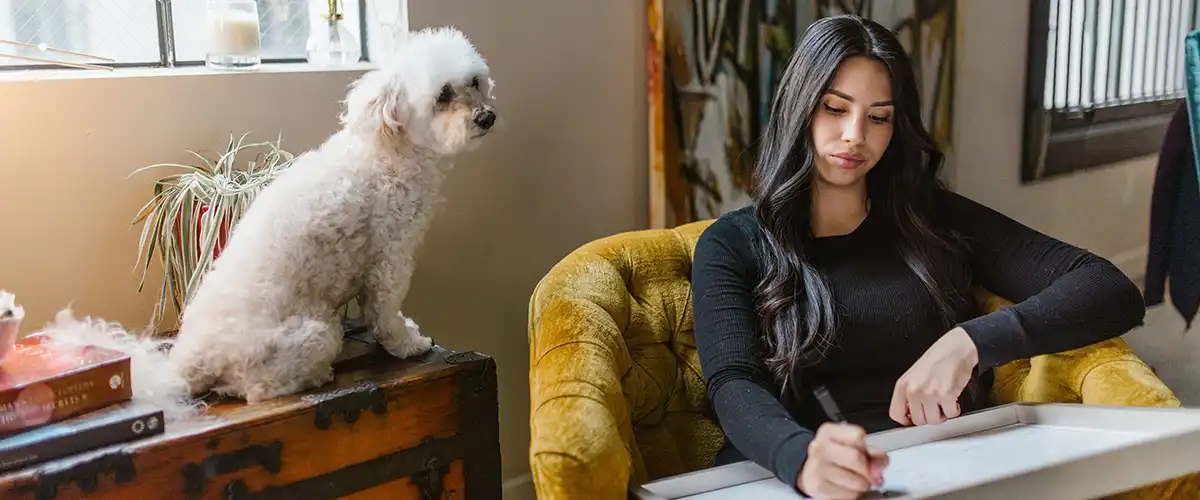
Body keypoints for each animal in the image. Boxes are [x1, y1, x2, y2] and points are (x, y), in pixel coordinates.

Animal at [38, 25, 496, 410]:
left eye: (474, 82)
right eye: (442, 95)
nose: (486, 117)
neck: (389, 150)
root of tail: (186, 363)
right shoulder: (390, 258)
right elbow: (385, 316)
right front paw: (409, 344)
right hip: (315, 333)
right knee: (256, 389)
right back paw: (315, 377)